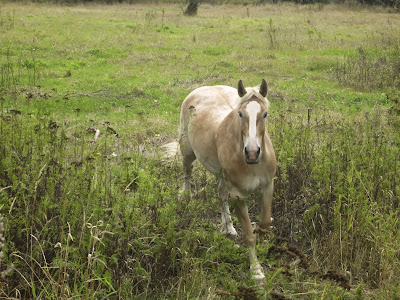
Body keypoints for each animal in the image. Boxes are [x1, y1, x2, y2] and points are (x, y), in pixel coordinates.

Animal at [180, 79, 276, 284]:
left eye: (265, 114)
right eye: (240, 113)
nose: (252, 153)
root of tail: (203, 88)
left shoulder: (268, 186)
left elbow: (264, 223)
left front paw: (259, 236)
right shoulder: (239, 196)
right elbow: (248, 235)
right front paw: (256, 271)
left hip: (222, 174)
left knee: (221, 194)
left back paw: (229, 227)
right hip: (187, 151)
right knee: (187, 172)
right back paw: (185, 197)